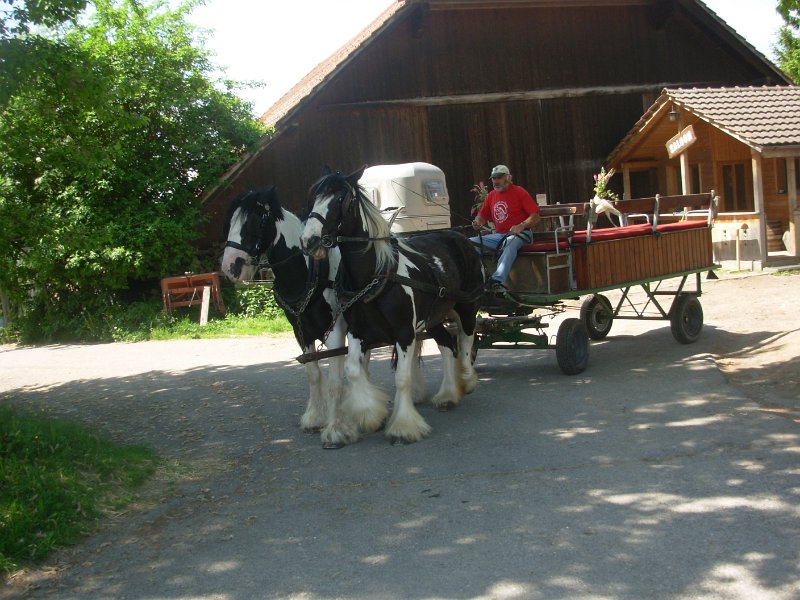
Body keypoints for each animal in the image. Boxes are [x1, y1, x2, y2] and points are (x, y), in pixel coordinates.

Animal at [220, 187, 348, 442]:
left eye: (254, 221)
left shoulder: (336, 333)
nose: (229, 267)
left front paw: (334, 428)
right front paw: (314, 418)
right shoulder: (302, 333)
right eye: (229, 221)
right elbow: (313, 374)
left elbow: (334, 381)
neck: (311, 272)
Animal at [300, 166, 484, 446]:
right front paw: (369, 413)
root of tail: (462, 238)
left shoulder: (404, 333)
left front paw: (404, 426)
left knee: (465, 341)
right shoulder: (358, 332)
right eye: (313, 198)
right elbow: (354, 371)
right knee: (446, 346)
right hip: (434, 317)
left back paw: (467, 378)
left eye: (341, 199)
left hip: (467, 307)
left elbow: (402, 378)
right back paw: (448, 395)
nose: (308, 241)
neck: (375, 274)